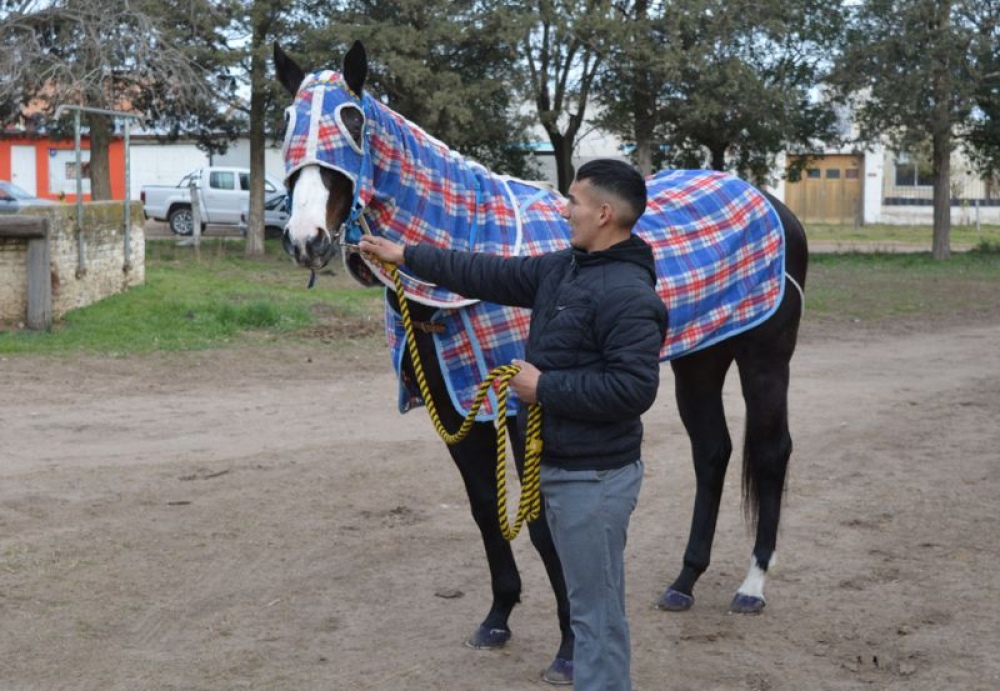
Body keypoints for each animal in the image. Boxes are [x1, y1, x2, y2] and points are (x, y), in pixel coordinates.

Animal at [272, 40, 804, 684]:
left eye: (351, 120)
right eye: (287, 122)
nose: (306, 239)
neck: (470, 242)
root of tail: (768, 202)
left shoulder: (528, 407)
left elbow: (546, 522)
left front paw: (570, 646)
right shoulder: (457, 408)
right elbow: (485, 509)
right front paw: (498, 616)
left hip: (764, 357)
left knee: (770, 451)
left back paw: (752, 585)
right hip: (699, 361)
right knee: (713, 452)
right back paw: (684, 581)